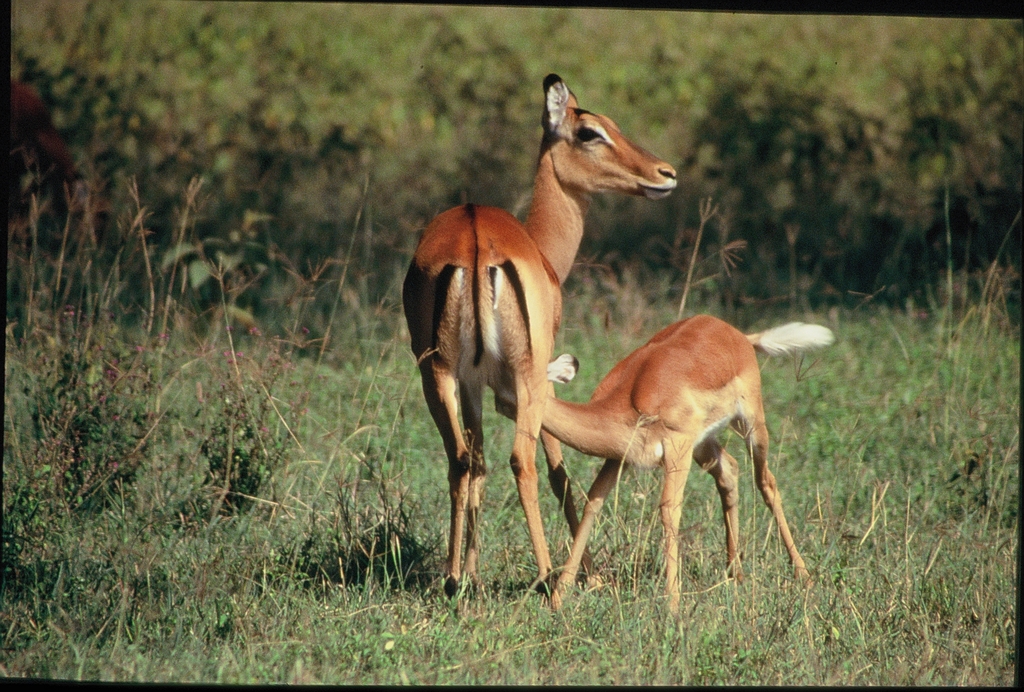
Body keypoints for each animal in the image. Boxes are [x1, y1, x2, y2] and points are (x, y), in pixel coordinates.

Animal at [401, 73, 679, 597]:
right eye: (590, 131)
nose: (665, 173)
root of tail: (474, 243)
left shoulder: (474, 383)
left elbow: (479, 462)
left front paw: (472, 571)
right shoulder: (536, 376)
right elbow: (557, 470)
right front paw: (588, 573)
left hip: (437, 374)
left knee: (462, 459)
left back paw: (453, 580)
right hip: (525, 377)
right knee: (523, 462)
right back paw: (548, 575)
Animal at [540, 313, 835, 610]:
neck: (629, 398)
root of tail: (736, 334)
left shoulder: (676, 447)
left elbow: (669, 509)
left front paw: (672, 604)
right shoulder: (618, 457)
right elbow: (593, 501)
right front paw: (558, 598)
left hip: (750, 425)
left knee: (766, 483)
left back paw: (803, 576)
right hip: (704, 444)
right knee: (729, 472)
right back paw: (735, 576)